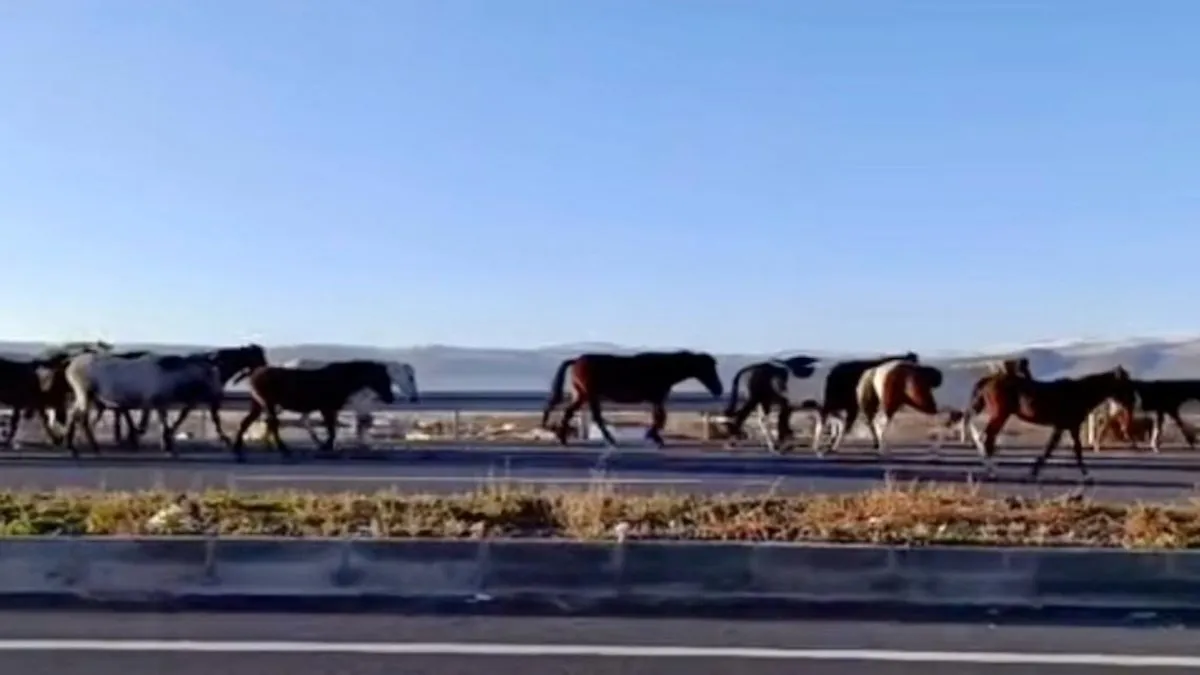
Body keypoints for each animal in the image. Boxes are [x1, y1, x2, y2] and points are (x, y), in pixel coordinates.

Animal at [60, 348, 229, 454]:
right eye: (214, 377)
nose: (220, 396)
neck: (168, 375)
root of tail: (71, 364)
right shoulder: (149, 402)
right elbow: (144, 425)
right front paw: (134, 439)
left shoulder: (159, 405)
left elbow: (162, 424)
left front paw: (167, 445)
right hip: (86, 393)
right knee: (81, 418)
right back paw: (88, 446)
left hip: (84, 396)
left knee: (75, 416)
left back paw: (72, 445)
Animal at [232, 360, 398, 458]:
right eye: (383, 378)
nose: (391, 398)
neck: (343, 378)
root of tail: (254, 372)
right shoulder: (327, 408)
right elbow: (331, 429)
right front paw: (325, 446)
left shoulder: (331, 409)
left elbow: (332, 429)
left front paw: (326, 446)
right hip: (268, 403)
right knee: (272, 424)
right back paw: (284, 449)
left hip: (258, 404)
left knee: (247, 422)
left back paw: (238, 449)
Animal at [274, 355, 420, 444]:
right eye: (410, 378)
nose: (415, 397)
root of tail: (285, 364)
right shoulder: (359, 405)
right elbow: (361, 424)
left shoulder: (364, 406)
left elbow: (364, 423)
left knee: (304, 420)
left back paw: (317, 440)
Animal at [542, 348, 724, 449]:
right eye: (708, 368)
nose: (719, 389)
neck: (664, 368)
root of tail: (576, 360)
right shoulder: (657, 398)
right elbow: (660, 418)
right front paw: (654, 437)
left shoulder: (656, 400)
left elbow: (659, 417)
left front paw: (654, 437)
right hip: (590, 394)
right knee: (595, 417)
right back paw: (610, 440)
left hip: (582, 394)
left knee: (570, 412)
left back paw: (563, 439)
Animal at [964, 365, 1132, 480]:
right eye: (1125, 384)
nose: (1130, 402)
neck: (1080, 393)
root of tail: (989, 379)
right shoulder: (1070, 426)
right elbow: (1071, 449)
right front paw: (1087, 475)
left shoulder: (1063, 426)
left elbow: (1053, 448)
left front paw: (1034, 471)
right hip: (1000, 414)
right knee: (987, 438)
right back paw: (992, 471)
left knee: (986, 437)